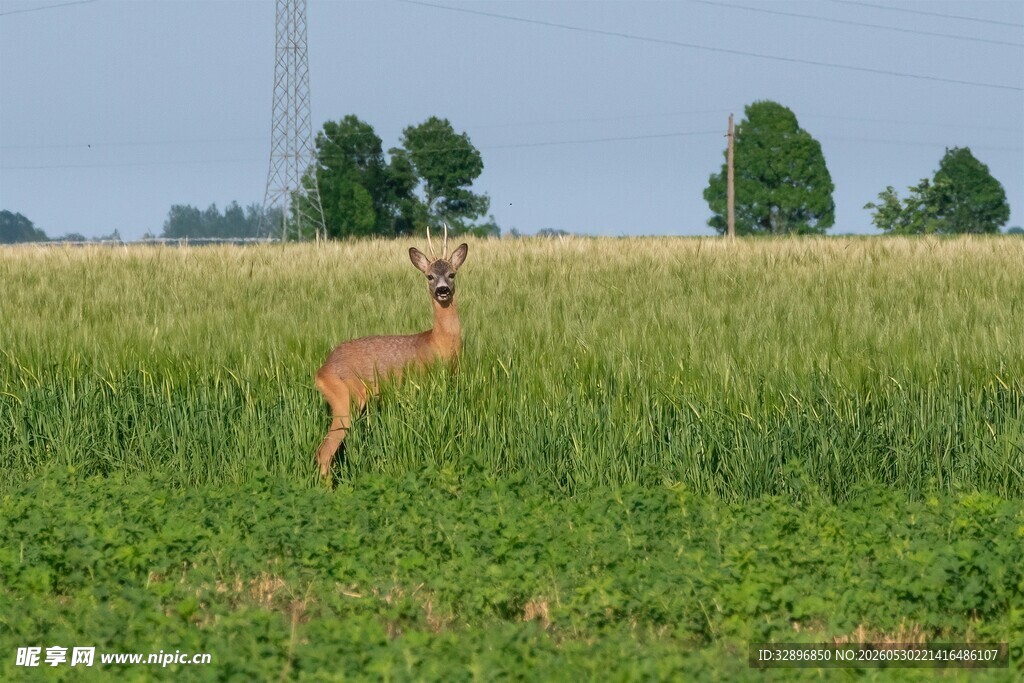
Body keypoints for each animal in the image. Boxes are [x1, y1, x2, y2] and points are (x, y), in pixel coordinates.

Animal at [314, 225, 469, 479]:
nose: (443, 290)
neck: (438, 343)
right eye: (429, 276)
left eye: (452, 274)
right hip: (345, 399)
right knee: (324, 452)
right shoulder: (421, 384)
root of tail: (321, 371)